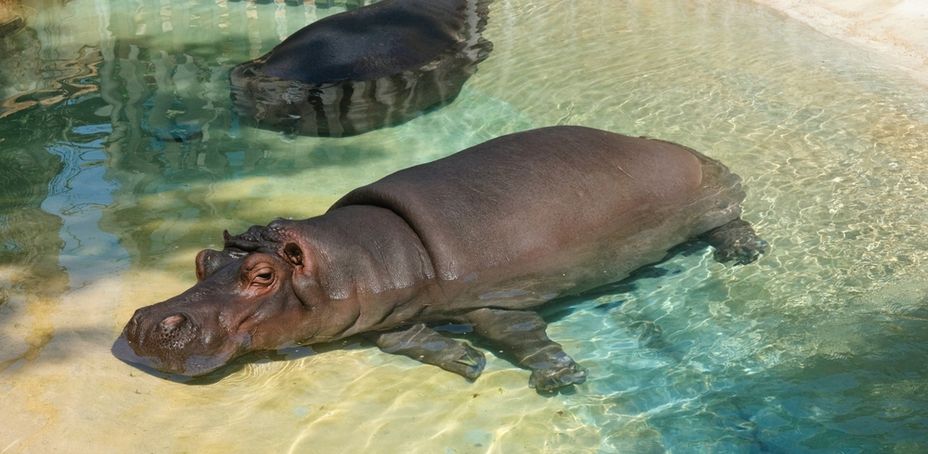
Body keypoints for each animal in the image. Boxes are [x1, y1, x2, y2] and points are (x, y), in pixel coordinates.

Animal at [112, 126, 768, 392]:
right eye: (202, 259)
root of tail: (692, 151)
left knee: (731, 220)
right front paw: (462, 359)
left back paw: (746, 254)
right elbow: (398, 339)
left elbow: (517, 334)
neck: (369, 256)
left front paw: (558, 376)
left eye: (263, 275)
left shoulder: (493, 299)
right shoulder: (390, 312)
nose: (148, 322)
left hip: (709, 204)